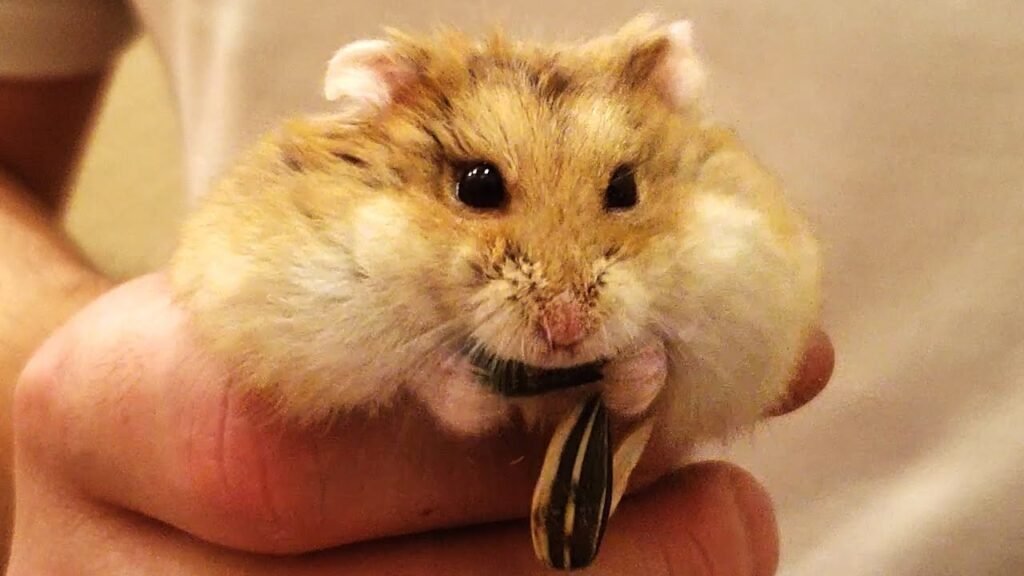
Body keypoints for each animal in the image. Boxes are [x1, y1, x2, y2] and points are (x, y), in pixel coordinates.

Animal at [170, 15, 822, 455]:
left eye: (625, 188)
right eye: (477, 186)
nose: (567, 330)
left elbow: (651, 384)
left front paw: (633, 364)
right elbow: (439, 390)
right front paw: (471, 385)